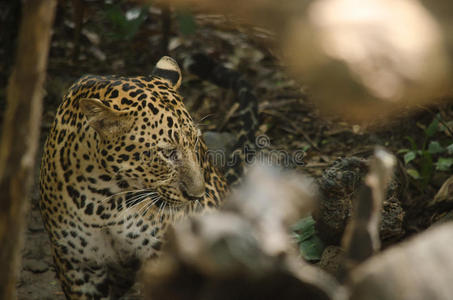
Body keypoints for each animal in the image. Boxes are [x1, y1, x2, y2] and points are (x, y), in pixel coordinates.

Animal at [39, 56, 240, 300]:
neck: (104, 201)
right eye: (168, 153)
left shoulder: (160, 258)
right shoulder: (76, 263)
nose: (196, 195)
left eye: (194, 142)